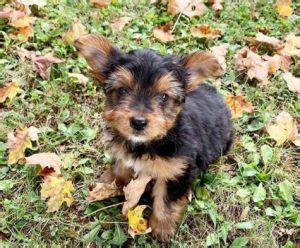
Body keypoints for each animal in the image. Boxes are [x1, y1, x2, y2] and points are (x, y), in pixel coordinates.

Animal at [74, 34, 233, 242]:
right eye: (122, 90)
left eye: (164, 97)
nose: (138, 122)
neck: (152, 142)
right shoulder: (123, 154)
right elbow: (120, 169)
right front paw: (108, 184)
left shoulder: (177, 170)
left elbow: (166, 201)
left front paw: (162, 228)